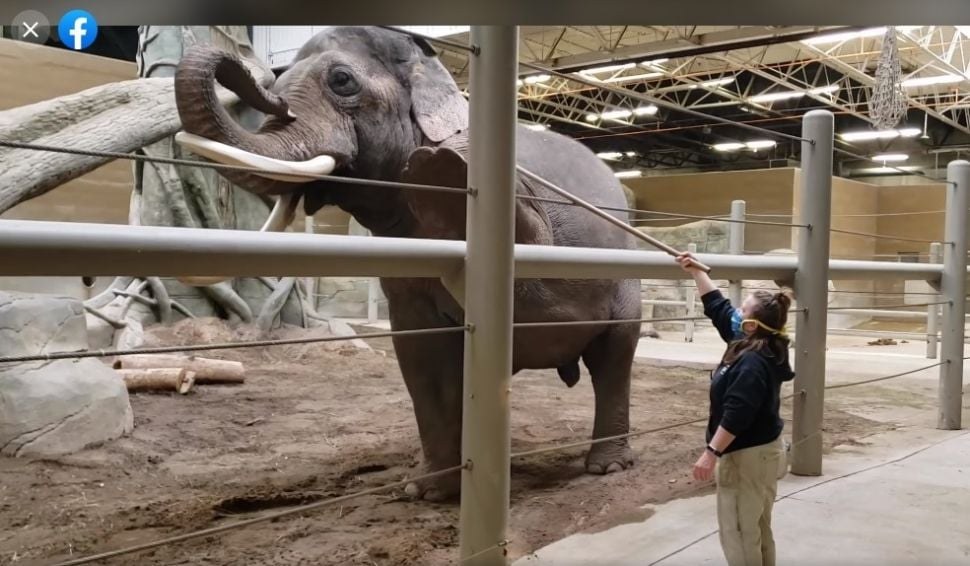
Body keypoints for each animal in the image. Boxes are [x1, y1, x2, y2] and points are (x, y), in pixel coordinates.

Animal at [174, 25, 644, 502]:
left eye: (342, 80)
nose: (242, 70)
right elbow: (422, 354)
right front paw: (426, 491)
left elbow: (528, 291)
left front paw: (437, 167)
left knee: (614, 355)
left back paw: (606, 467)